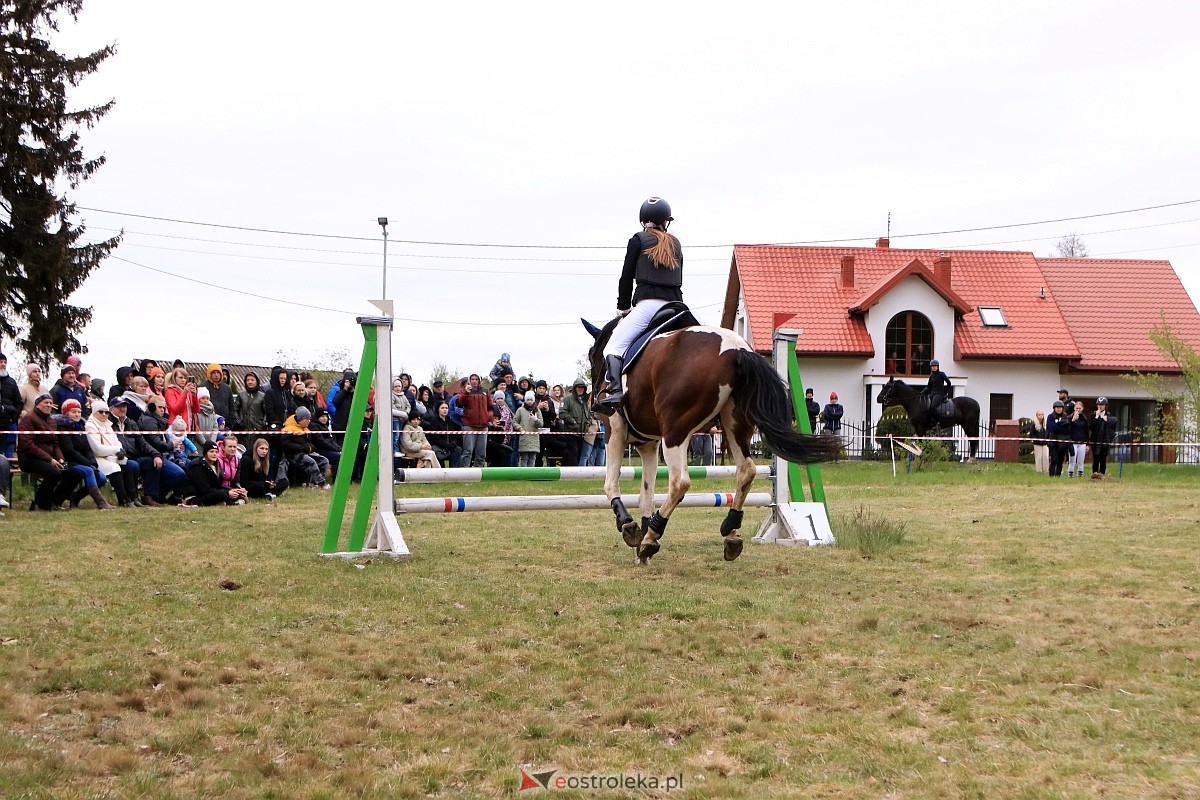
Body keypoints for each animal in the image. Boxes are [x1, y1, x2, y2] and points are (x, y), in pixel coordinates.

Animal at [585, 311, 840, 563]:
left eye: (591, 355)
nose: (592, 403)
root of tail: (736, 349)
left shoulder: (615, 431)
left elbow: (611, 484)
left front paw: (630, 527)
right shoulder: (648, 444)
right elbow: (645, 495)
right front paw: (640, 545)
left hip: (676, 432)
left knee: (680, 482)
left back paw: (652, 538)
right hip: (734, 425)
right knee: (746, 470)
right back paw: (731, 532)